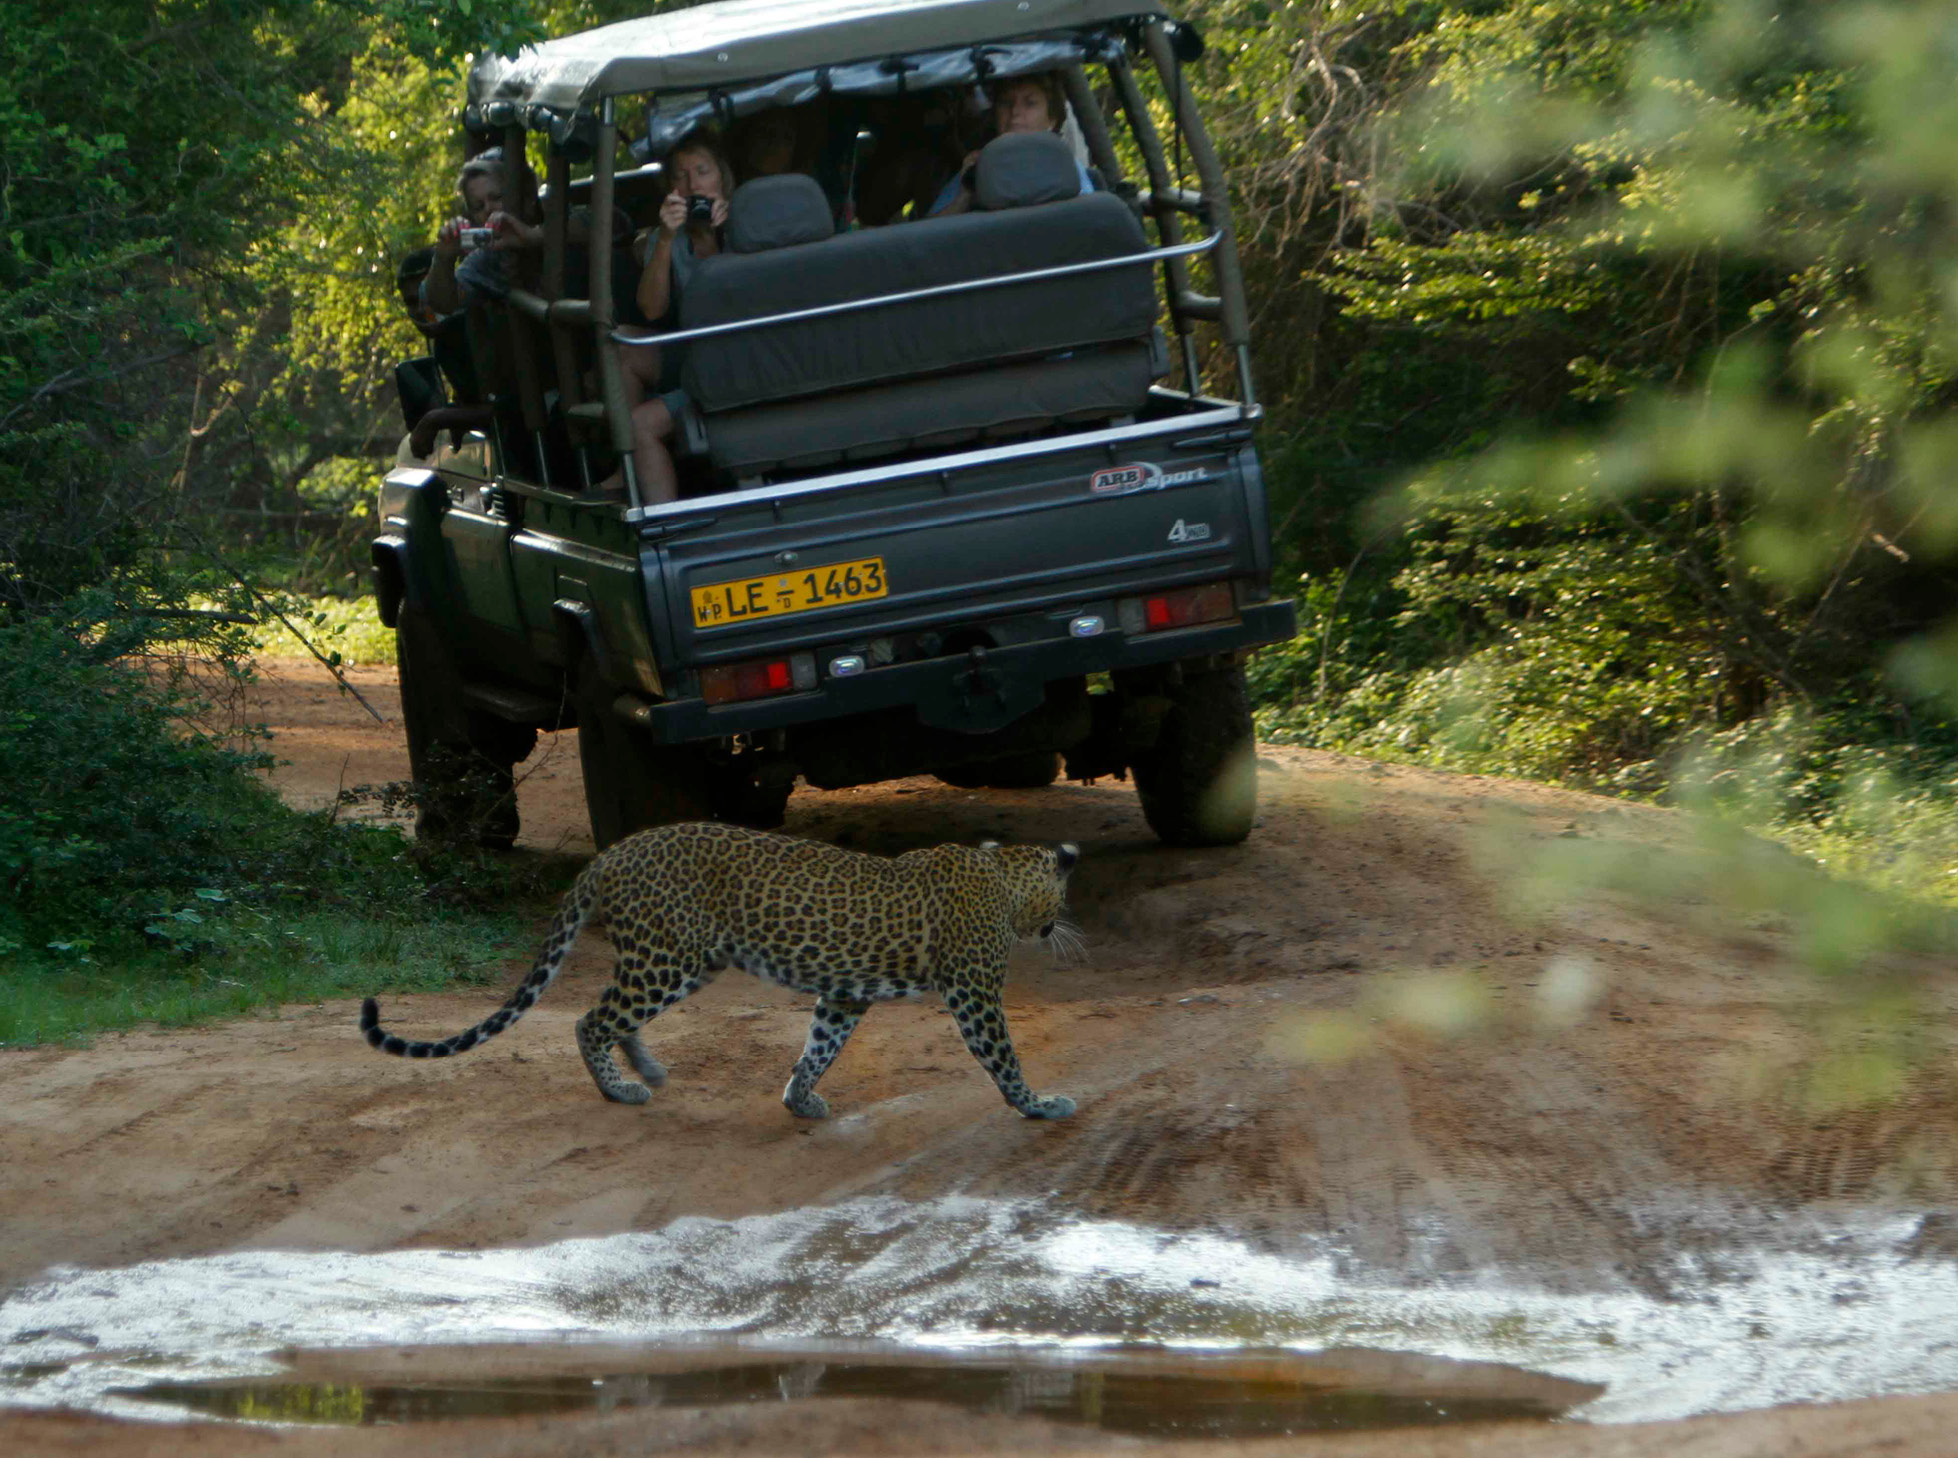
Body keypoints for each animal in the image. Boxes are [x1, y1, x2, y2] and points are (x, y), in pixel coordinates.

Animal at [360, 825, 1080, 1119]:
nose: (1058, 927)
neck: (1003, 876)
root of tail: (610, 854)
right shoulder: (974, 993)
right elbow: (1003, 1057)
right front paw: (1040, 1105)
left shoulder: (845, 995)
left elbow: (820, 1047)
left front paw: (799, 1100)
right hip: (666, 960)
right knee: (591, 1020)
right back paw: (621, 1091)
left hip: (681, 961)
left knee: (612, 1014)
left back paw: (647, 1070)